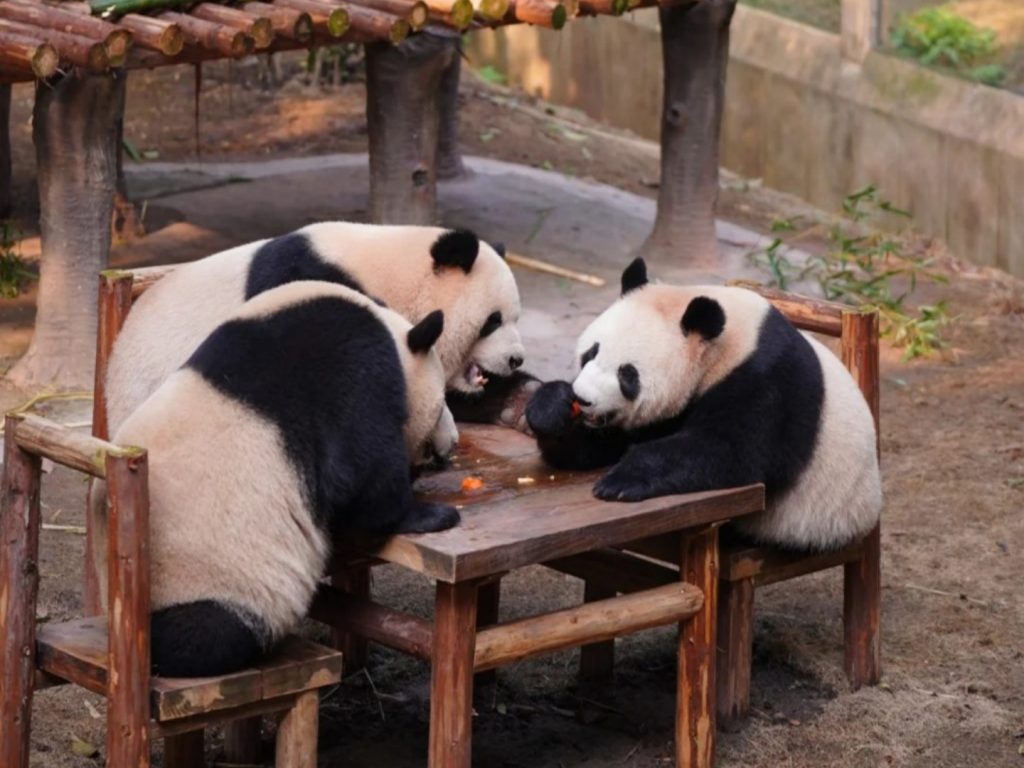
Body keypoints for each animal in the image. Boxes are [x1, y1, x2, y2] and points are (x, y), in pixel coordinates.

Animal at [101, 281, 460, 677]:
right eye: (442, 404)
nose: (451, 444)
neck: (389, 333)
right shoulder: (354, 369)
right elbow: (365, 477)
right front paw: (433, 514)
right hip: (209, 581)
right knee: (205, 634)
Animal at [526, 258, 882, 551]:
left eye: (628, 374)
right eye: (591, 352)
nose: (583, 399)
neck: (725, 346)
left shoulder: (766, 382)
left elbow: (730, 451)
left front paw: (620, 481)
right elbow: (600, 446)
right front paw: (552, 408)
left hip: (815, 518)